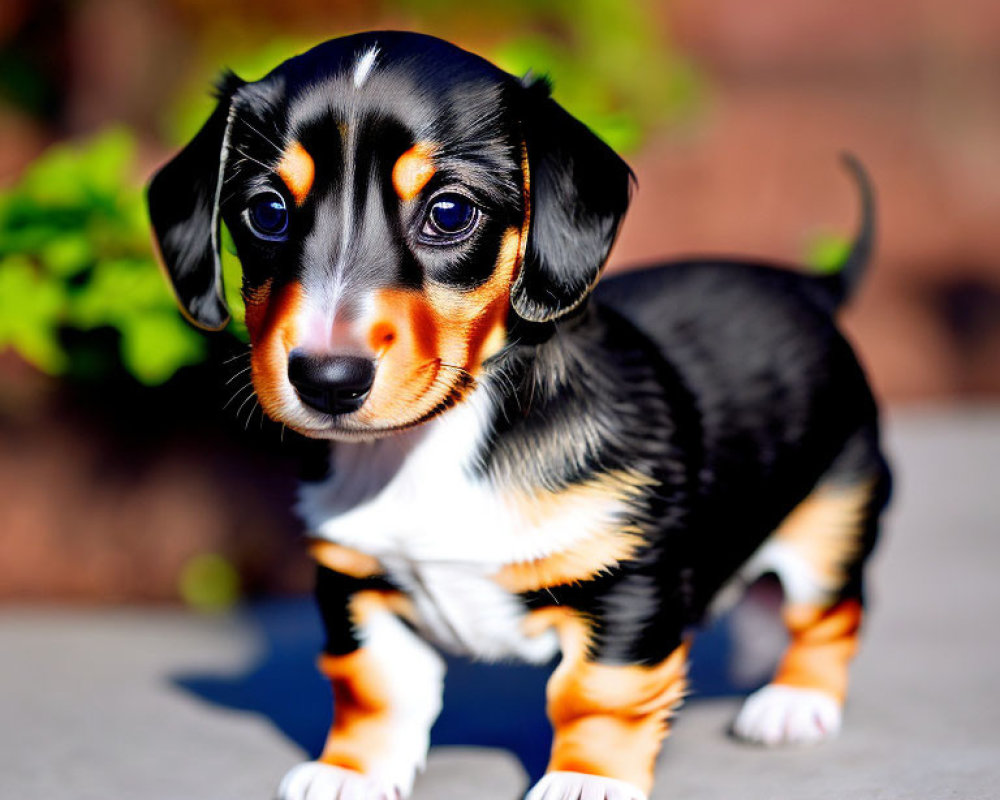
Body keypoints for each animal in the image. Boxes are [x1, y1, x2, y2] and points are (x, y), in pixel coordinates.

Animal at [146, 29, 892, 800]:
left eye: (450, 213)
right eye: (267, 212)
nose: (327, 381)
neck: (432, 445)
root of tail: (812, 289)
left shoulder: (626, 581)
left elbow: (598, 695)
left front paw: (587, 781)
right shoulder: (355, 583)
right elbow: (373, 690)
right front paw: (349, 771)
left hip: (832, 518)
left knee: (831, 613)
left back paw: (794, 700)